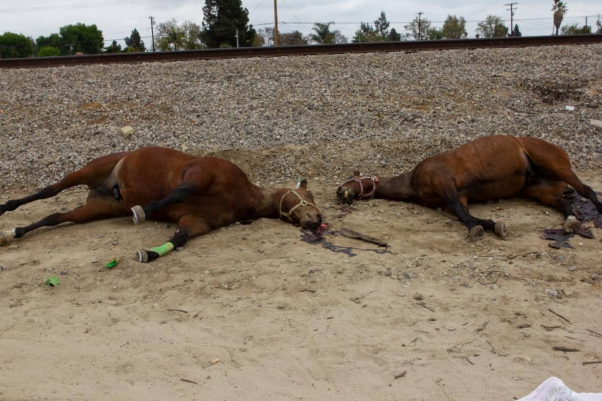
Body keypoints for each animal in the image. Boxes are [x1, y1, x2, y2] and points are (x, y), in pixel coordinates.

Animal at [2, 147, 322, 262]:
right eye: (309, 197)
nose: (318, 219)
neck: (240, 194)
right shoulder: (198, 174)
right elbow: (177, 194)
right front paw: (141, 212)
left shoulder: (197, 222)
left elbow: (179, 239)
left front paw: (149, 253)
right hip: (85, 172)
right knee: (49, 190)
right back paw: (6, 209)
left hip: (95, 210)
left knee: (55, 216)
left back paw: (13, 233)